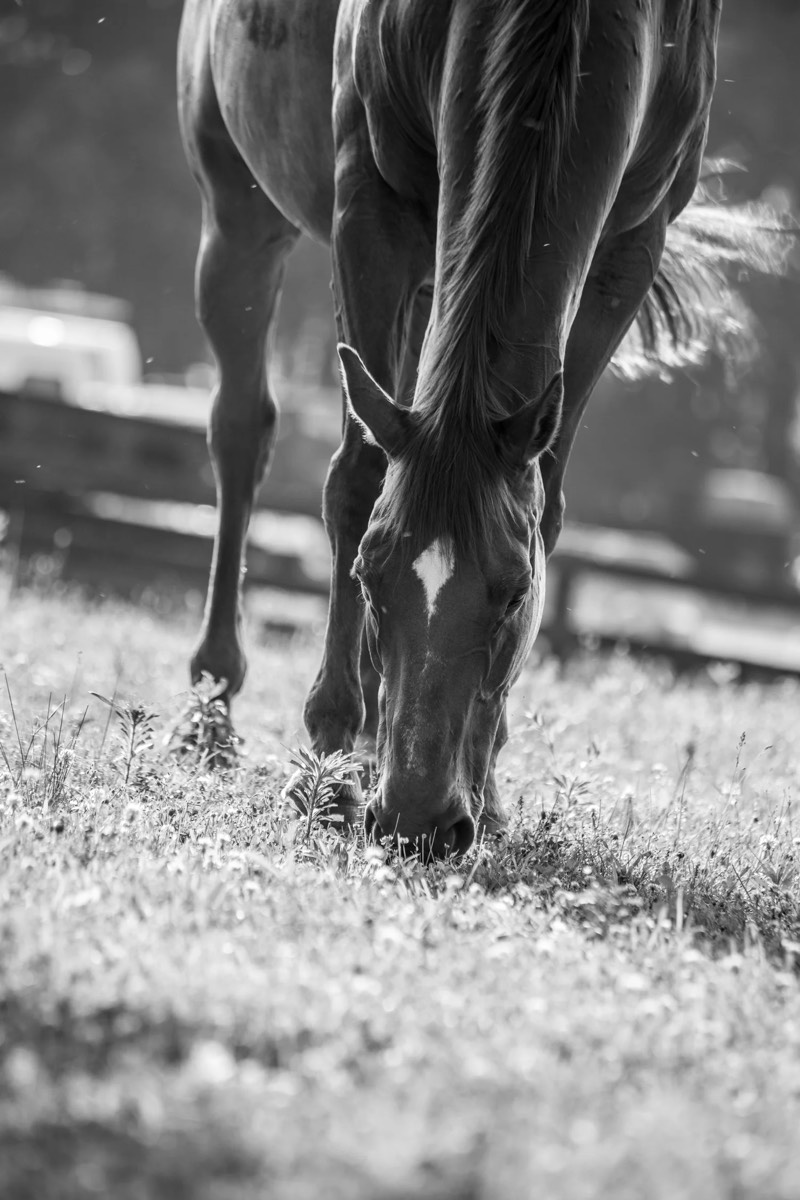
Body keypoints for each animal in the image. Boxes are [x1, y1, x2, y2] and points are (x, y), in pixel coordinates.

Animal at [177, 0, 785, 857]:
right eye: (368, 575)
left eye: (515, 593)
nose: (418, 821)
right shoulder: (369, 203)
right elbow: (357, 478)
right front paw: (327, 763)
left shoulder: (628, 243)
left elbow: (547, 503)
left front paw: (488, 789)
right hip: (241, 211)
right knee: (240, 431)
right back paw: (218, 705)